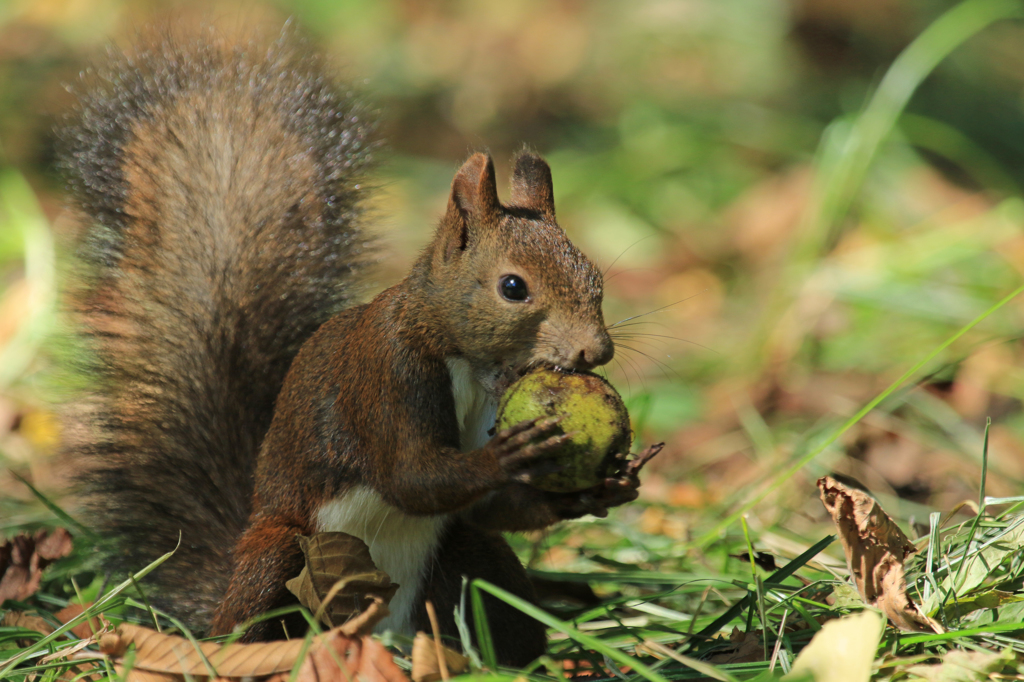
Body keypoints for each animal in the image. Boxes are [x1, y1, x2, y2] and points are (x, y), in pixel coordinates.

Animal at [59, 29, 659, 659]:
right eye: (513, 287)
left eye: (594, 275)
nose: (596, 352)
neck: (465, 361)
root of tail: (379, 633)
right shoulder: (386, 373)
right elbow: (409, 475)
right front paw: (508, 455)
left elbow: (486, 508)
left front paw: (605, 487)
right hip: (278, 556)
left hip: (471, 565)